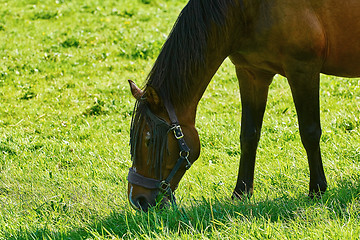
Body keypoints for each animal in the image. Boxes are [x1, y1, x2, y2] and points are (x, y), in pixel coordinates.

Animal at [126, 0, 360, 210]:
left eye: (148, 140)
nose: (137, 199)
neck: (249, 9)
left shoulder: (303, 70)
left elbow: (309, 133)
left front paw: (317, 190)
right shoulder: (251, 73)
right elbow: (249, 135)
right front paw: (241, 191)